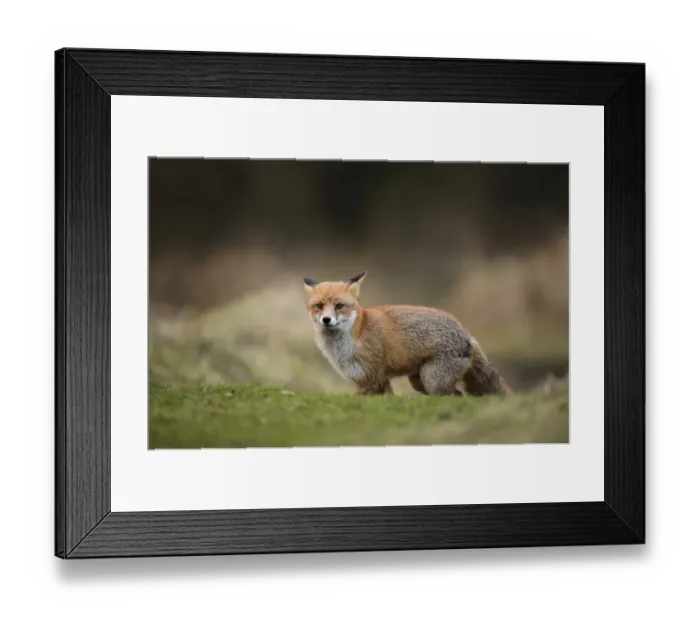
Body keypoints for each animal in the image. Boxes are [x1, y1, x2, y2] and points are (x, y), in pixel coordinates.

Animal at [302, 271, 511, 397]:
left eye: (339, 306)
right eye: (319, 306)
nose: (326, 320)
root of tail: (465, 332)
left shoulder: (372, 378)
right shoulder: (373, 380)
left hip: (433, 382)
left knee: (455, 396)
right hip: (419, 382)